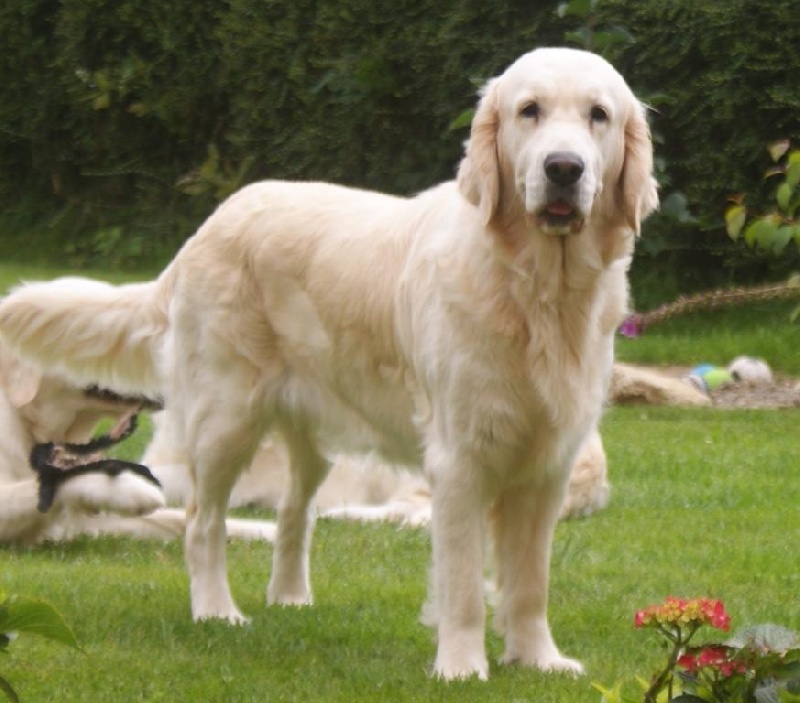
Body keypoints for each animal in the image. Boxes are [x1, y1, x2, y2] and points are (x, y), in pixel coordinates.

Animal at [0, 47, 657, 680]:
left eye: (598, 115)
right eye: (530, 111)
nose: (563, 169)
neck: (538, 292)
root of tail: (206, 228)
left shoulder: (547, 464)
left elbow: (529, 583)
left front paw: (539, 659)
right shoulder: (460, 460)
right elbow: (465, 582)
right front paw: (462, 667)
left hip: (311, 437)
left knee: (295, 513)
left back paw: (290, 599)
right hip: (225, 419)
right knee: (202, 521)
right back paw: (217, 610)